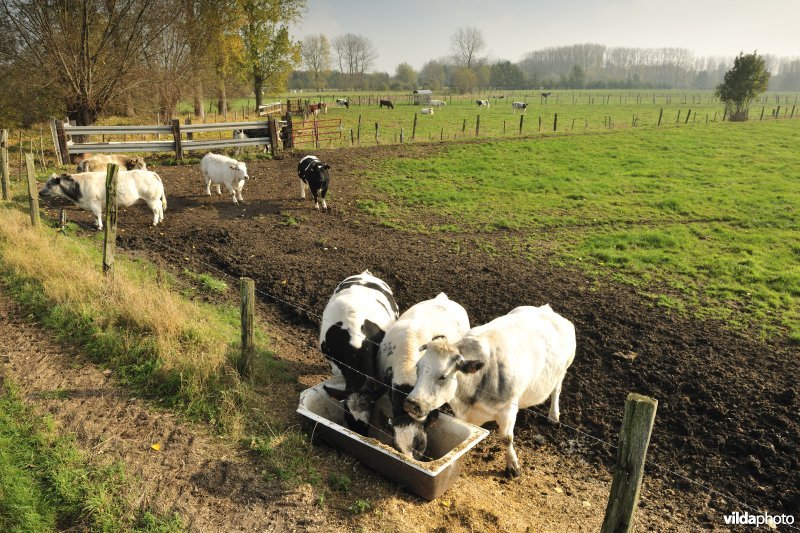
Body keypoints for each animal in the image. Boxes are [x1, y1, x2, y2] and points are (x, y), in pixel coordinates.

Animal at [406, 306, 576, 476]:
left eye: (443, 376)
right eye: (418, 367)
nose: (412, 403)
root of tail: (546, 309)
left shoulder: (507, 409)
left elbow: (507, 438)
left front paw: (512, 466)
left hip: (563, 371)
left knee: (556, 391)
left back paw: (553, 416)